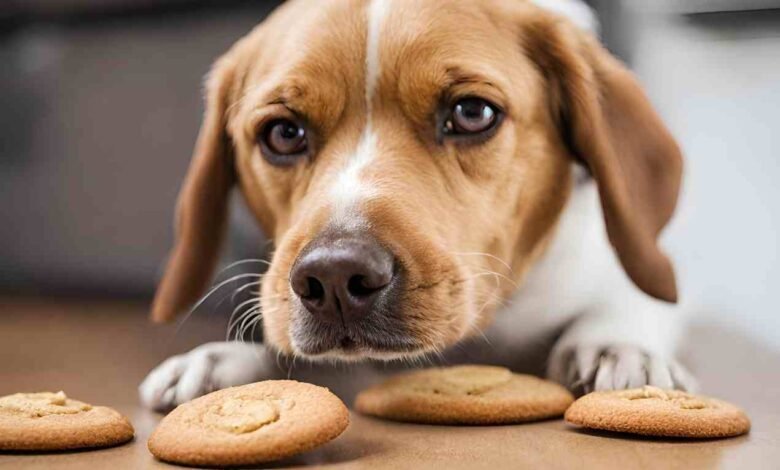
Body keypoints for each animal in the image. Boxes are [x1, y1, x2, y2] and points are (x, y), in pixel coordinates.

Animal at [137, 0, 692, 412]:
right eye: (283, 133)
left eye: (472, 113)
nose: (334, 277)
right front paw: (224, 361)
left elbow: (629, 303)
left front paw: (619, 347)